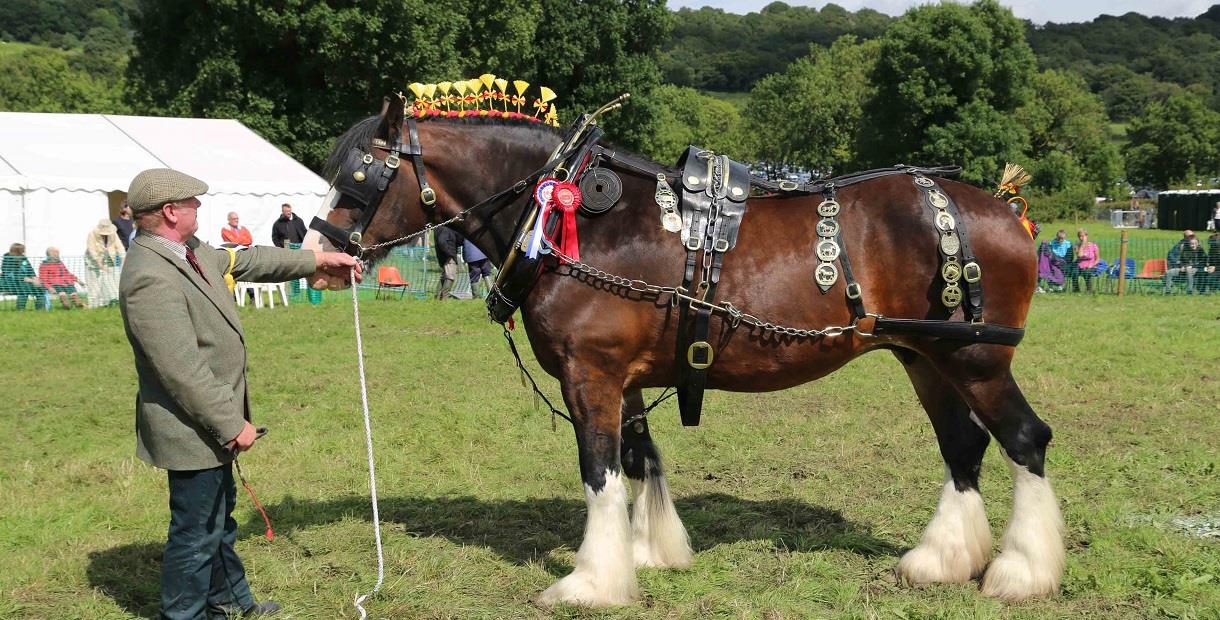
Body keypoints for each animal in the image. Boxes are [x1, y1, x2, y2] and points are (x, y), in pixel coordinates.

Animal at [309, 105, 1063, 605]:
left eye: (359, 178)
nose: (321, 256)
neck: (576, 219)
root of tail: (1002, 210)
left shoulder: (591, 375)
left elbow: (599, 472)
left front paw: (592, 580)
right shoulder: (626, 378)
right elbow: (640, 459)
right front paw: (649, 552)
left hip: (975, 361)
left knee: (1025, 439)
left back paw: (1021, 572)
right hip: (923, 358)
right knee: (964, 447)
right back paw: (940, 560)